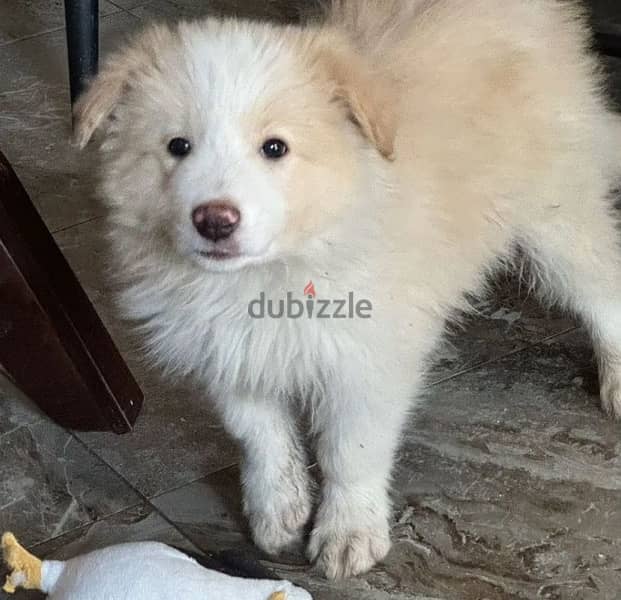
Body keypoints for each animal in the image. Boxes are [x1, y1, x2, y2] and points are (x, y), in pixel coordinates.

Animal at [75, 0, 620, 580]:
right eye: (178, 146)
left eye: (275, 148)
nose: (214, 220)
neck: (272, 273)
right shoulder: (225, 349)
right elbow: (257, 433)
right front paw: (278, 509)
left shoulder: (367, 358)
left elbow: (349, 450)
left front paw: (348, 531)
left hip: (554, 209)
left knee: (602, 283)